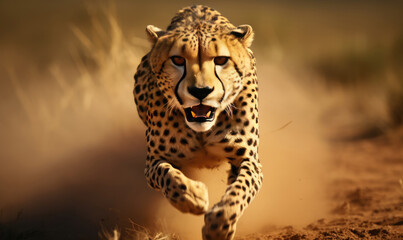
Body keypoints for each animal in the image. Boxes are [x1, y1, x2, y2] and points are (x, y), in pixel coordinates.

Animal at [134, 5, 264, 240]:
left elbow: (240, 190)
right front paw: (194, 196)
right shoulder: (154, 161)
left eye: (221, 60)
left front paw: (219, 225)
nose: (200, 91)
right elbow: (169, 175)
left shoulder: (248, 159)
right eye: (177, 60)